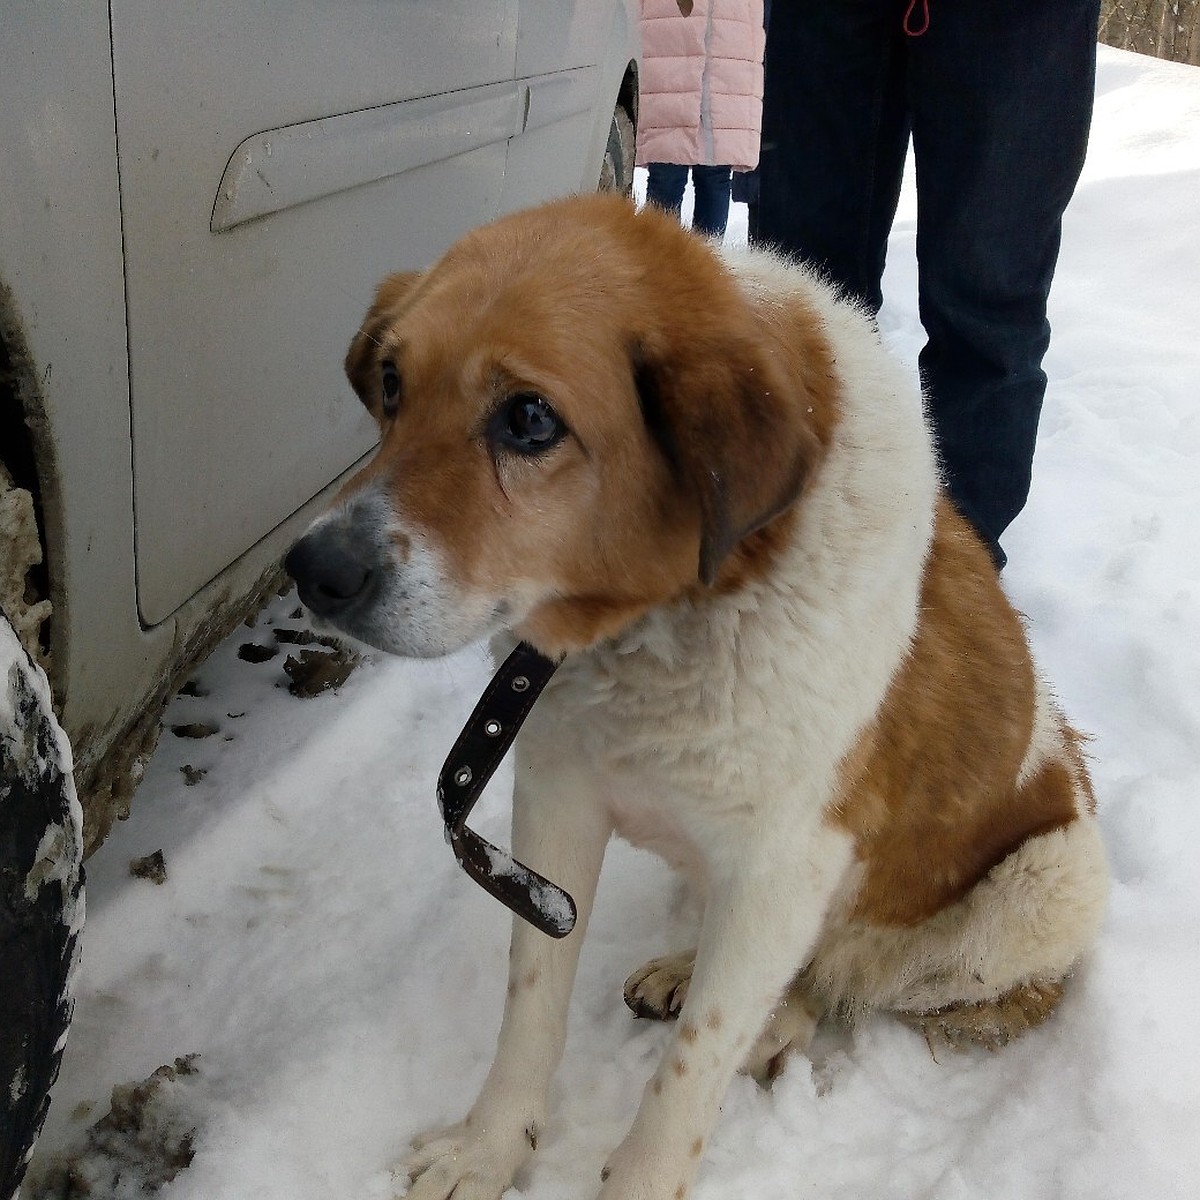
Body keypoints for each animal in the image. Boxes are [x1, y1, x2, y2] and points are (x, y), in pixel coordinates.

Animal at [280, 194, 1104, 1200]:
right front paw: (489, 1147)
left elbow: (691, 1070)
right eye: (393, 382)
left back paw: (777, 1019)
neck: (671, 619)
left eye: (528, 418)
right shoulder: (556, 798)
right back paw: (686, 967)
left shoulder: (787, 868)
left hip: (1045, 881)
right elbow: (531, 1001)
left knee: (833, 982)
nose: (314, 571)